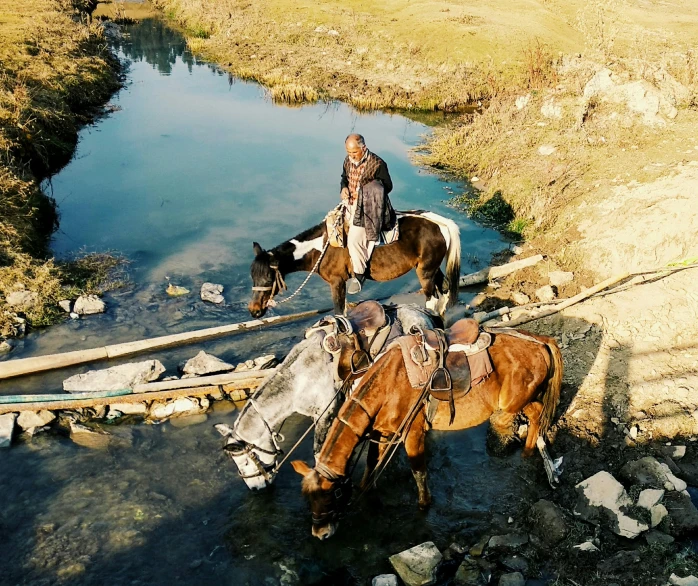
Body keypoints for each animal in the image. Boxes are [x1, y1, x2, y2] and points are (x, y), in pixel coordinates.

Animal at [218, 304, 436, 486]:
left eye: (246, 461)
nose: (255, 487)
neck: (300, 379)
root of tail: (423, 312)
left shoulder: (324, 413)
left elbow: (318, 452)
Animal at [247, 212, 460, 318]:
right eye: (252, 276)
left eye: (268, 277)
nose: (254, 310)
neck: (321, 247)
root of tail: (440, 223)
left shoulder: (337, 282)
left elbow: (338, 311)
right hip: (432, 268)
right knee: (444, 291)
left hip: (425, 272)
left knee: (432, 299)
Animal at [290, 326, 564, 536]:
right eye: (308, 497)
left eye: (333, 493)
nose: (320, 533)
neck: (387, 386)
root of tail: (541, 341)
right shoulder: (382, 433)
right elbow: (370, 466)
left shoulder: (412, 433)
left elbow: (418, 471)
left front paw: (424, 505)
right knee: (536, 413)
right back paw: (529, 452)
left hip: (513, 403)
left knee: (535, 413)